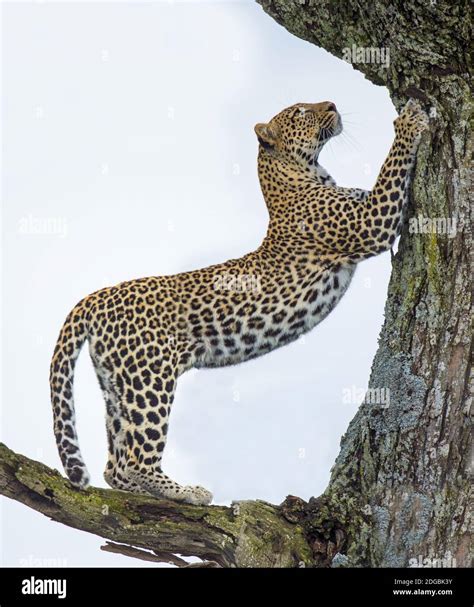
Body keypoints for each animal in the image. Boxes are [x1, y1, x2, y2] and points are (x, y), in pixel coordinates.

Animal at [51, 100, 430, 506]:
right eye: (300, 111)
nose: (331, 104)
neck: (302, 174)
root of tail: (97, 296)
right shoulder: (373, 220)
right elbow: (391, 167)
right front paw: (409, 120)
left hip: (117, 385)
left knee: (115, 465)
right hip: (149, 379)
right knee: (136, 459)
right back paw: (186, 492)